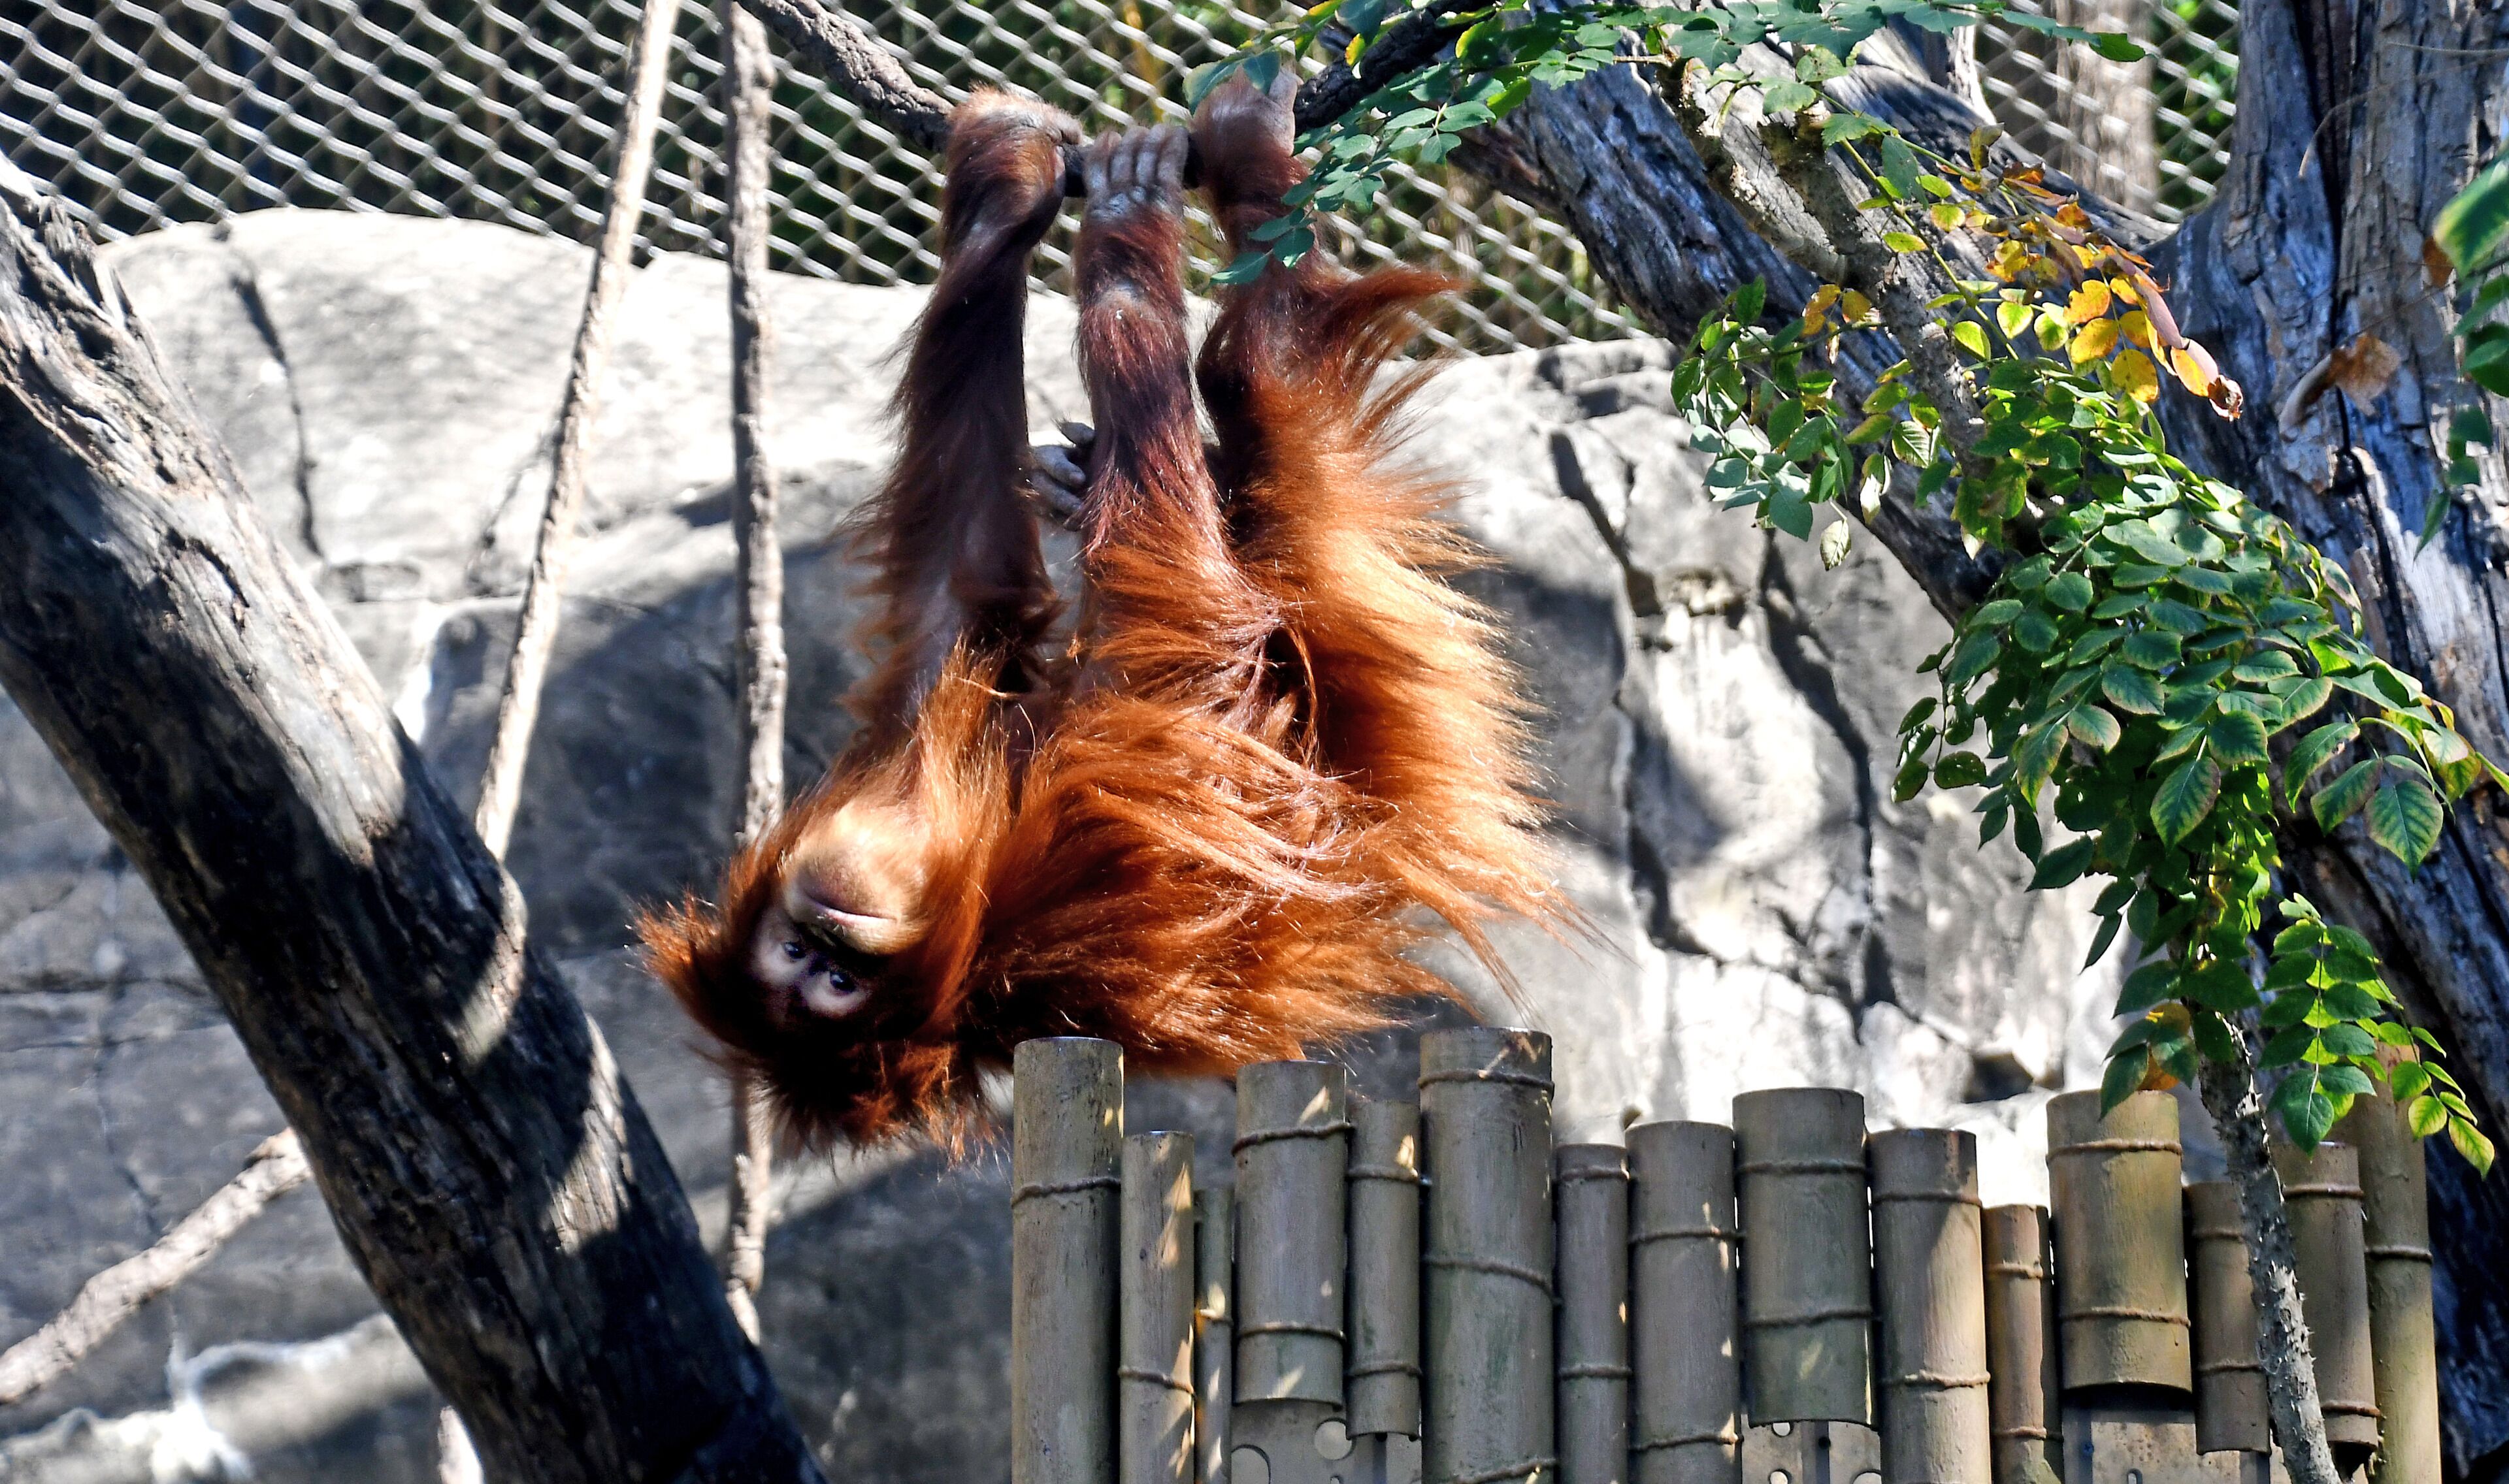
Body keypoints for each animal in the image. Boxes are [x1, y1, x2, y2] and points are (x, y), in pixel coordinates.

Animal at [639, 77, 1563, 1150]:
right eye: (822, 980)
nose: (826, 936)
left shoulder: (913, 750)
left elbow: (964, 557)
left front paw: (1007, 185)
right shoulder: (1072, 889)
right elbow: (1191, 639)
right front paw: (1122, 219)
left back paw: (1088, 472)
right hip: (1352, 597)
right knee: (1265, 381)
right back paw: (1246, 179)